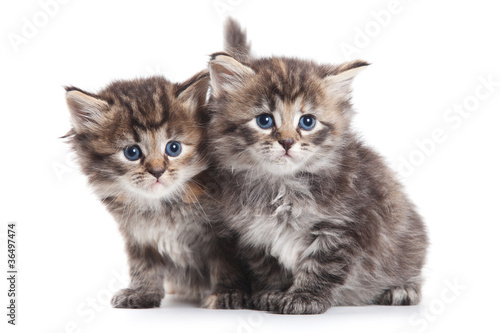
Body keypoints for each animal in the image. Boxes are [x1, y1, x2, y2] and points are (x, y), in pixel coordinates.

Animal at [64, 73, 248, 308]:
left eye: (173, 148)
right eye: (132, 152)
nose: (157, 171)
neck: (163, 206)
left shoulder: (223, 235)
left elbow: (227, 263)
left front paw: (229, 292)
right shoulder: (138, 235)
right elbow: (144, 266)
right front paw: (142, 292)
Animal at [207, 21, 430, 314]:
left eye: (308, 121)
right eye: (264, 120)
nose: (287, 142)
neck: (282, 186)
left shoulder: (342, 226)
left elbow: (322, 266)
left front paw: (304, 297)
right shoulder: (253, 234)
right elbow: (269, 266)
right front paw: (273, 293)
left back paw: (401, 289)